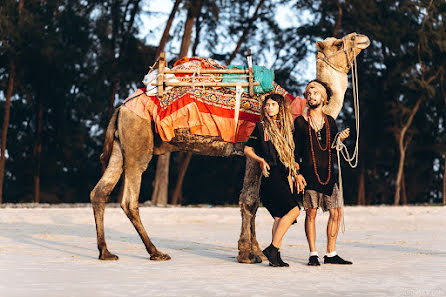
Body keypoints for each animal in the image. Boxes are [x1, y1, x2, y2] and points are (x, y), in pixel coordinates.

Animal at [89, 31, 370, 262]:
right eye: (339, 43)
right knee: (129, 200)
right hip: (138, 143)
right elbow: (250, 201)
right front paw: (248, 254)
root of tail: (121, 108)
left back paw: (105, 252)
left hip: (121, 146)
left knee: (99, 192)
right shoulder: (254, 152)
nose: (362, 38)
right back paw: (156, 252)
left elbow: (252, 200)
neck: (293, 109)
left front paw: (255, 251)